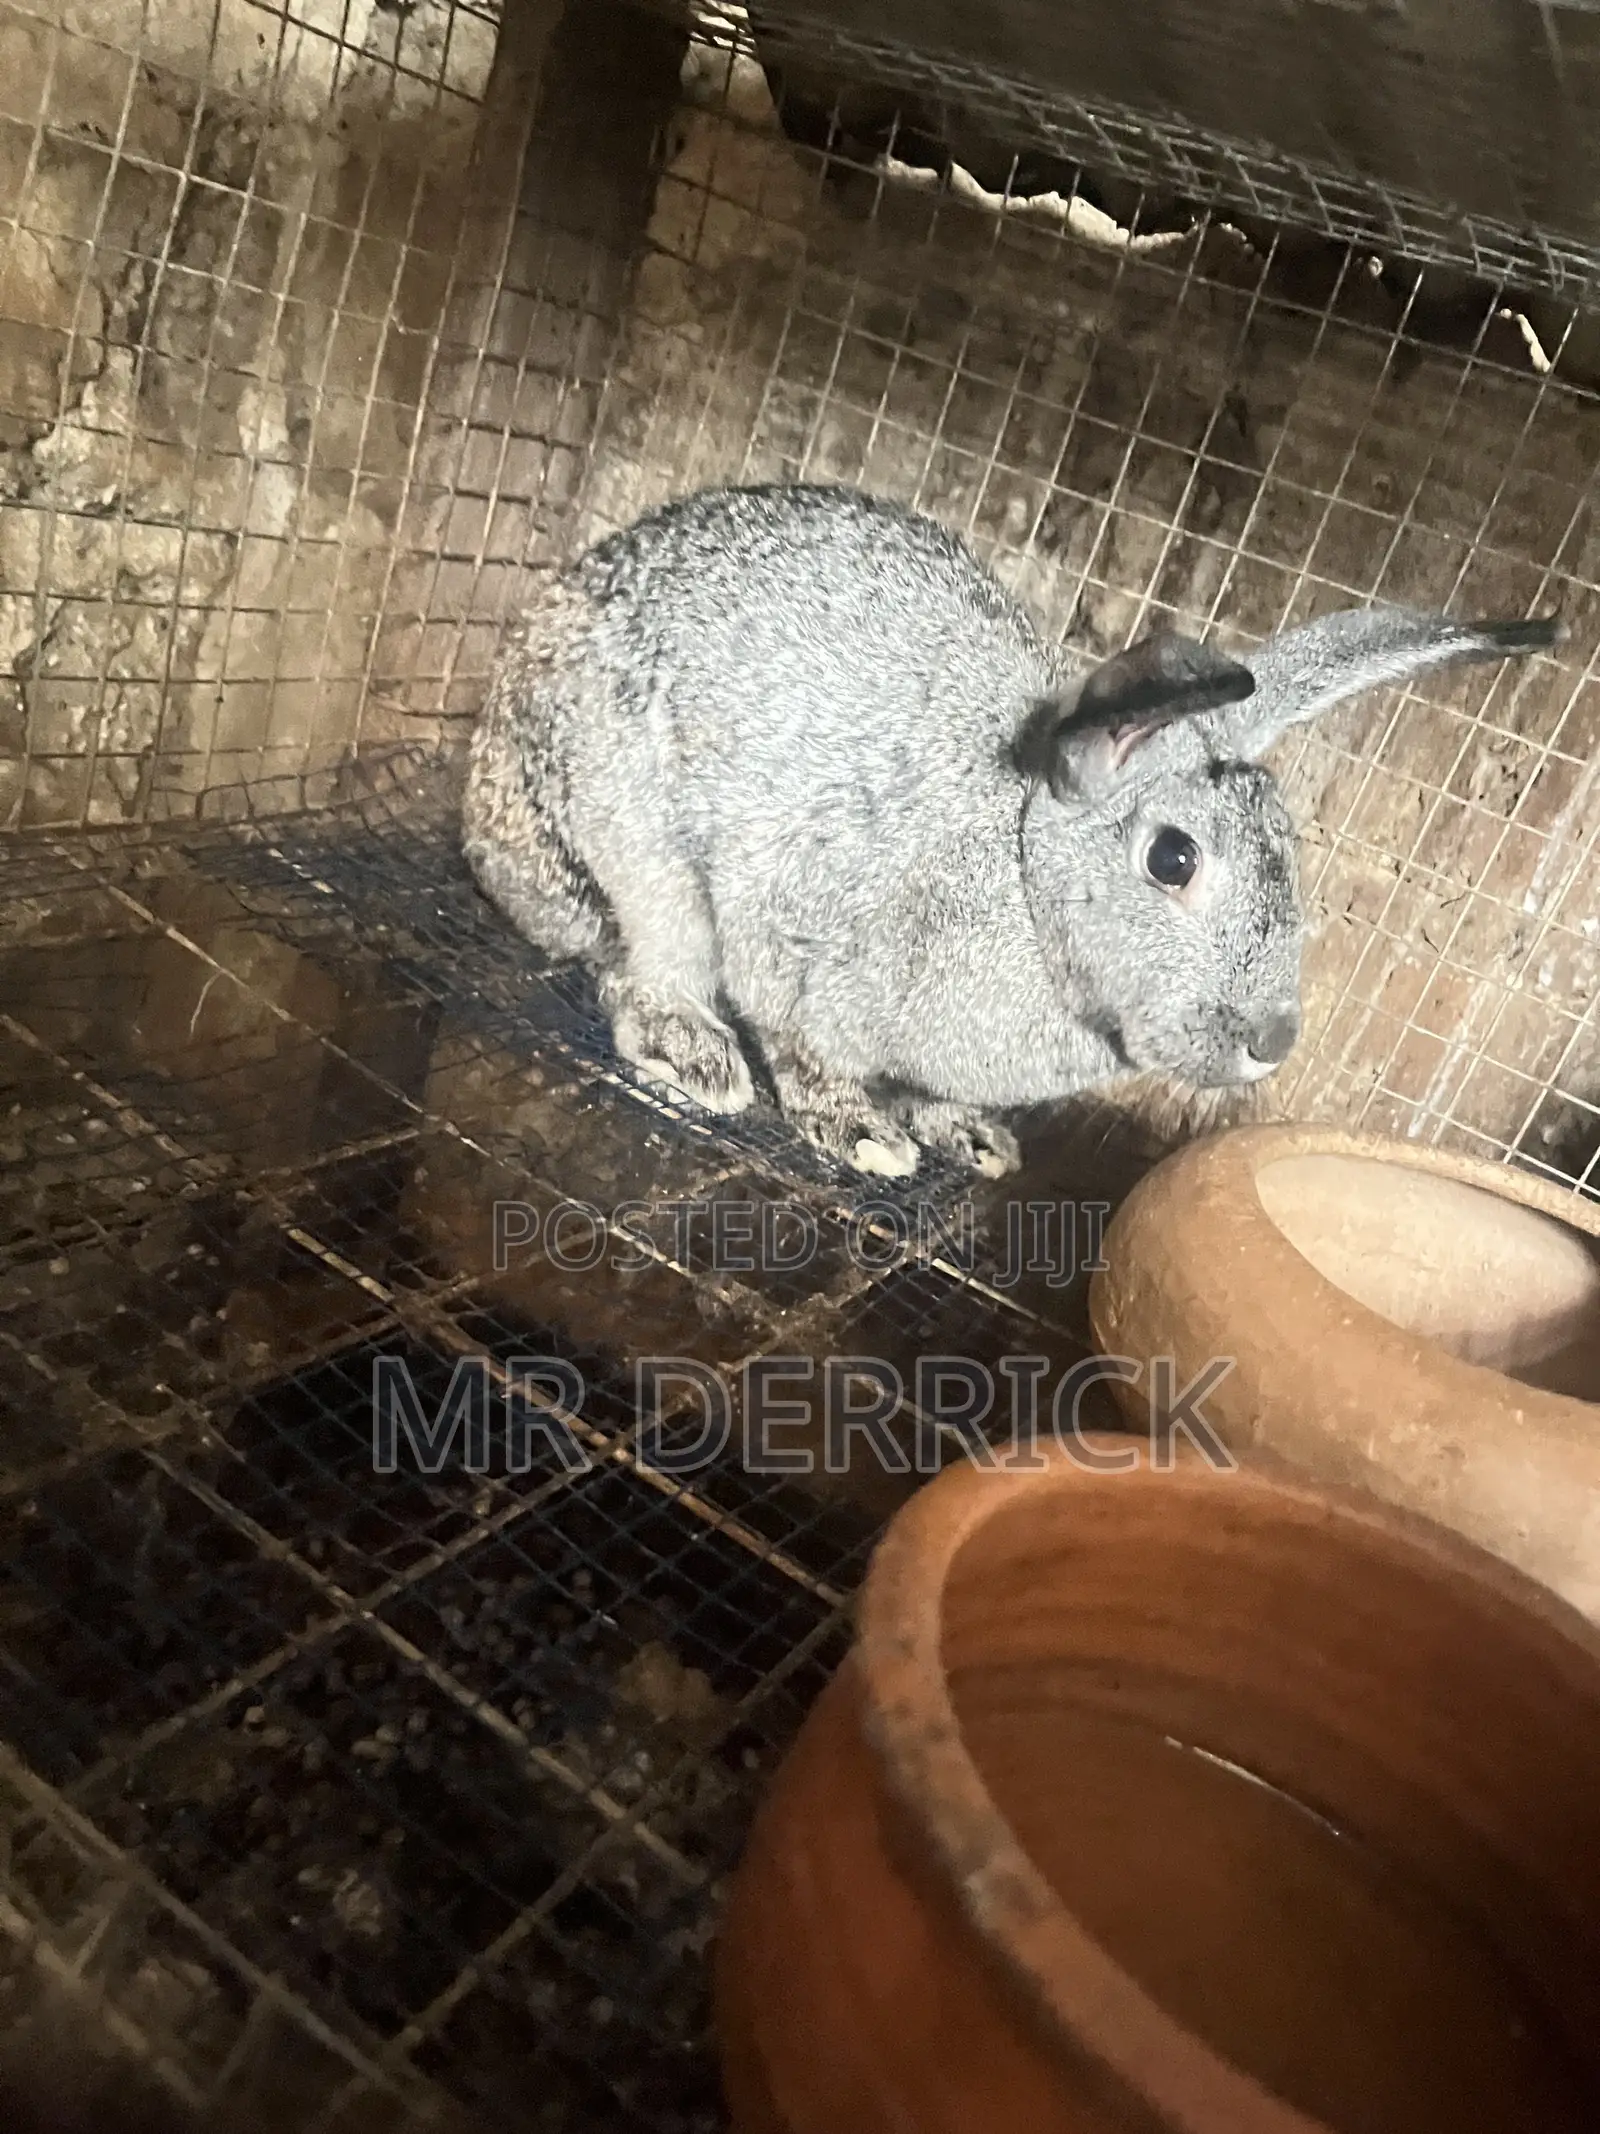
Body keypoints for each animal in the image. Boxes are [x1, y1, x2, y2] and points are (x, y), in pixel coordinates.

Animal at [462, 482, 1559, 1181]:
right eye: (1172, 858)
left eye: (1291, 852)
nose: (1272, 1040)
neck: (1025, 875)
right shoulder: (790, 935)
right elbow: (806, 1051)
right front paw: (863, 1134)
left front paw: (971, 1137)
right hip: (630, 835)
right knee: (640, 961)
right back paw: (694, 1052)